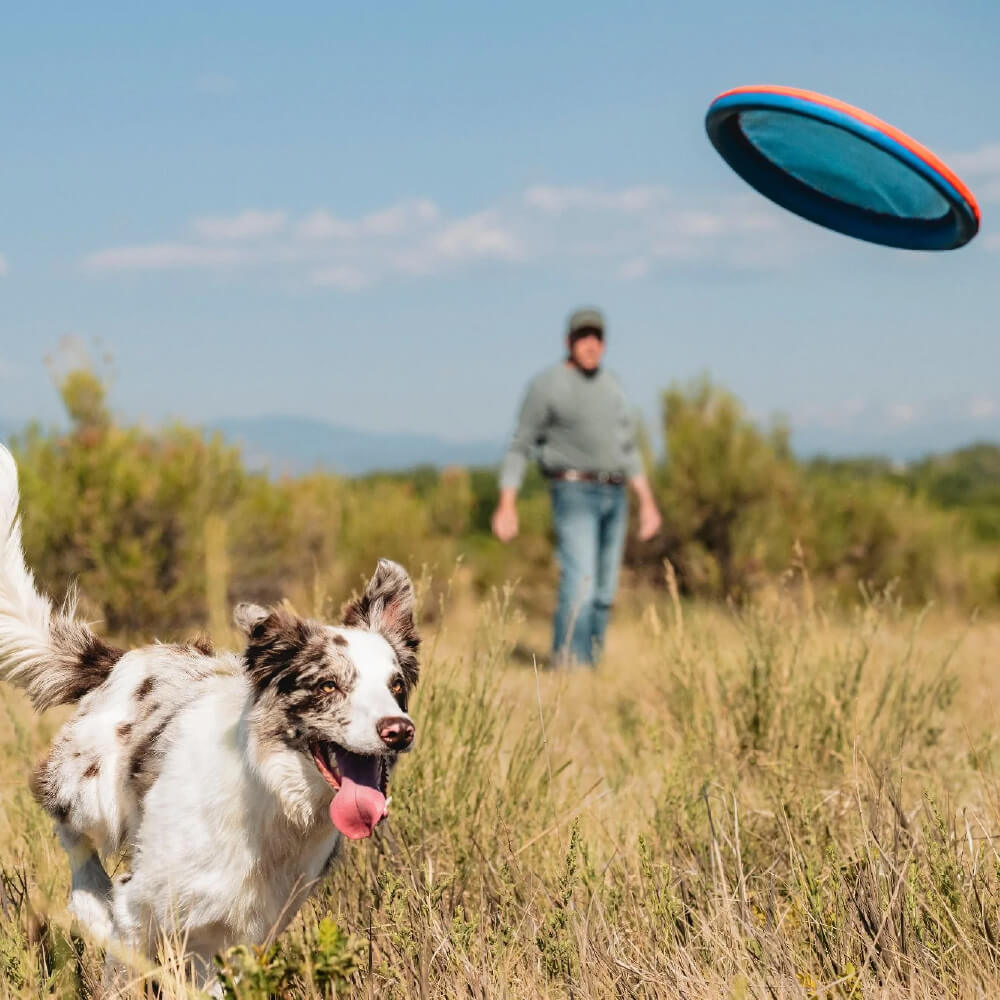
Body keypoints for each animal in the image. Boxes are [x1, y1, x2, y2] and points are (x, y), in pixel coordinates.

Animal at [0, 446, 420, 984]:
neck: (274, 803)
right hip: (90, 792)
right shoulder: (141, 904)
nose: (398, 732)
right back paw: (94, 898)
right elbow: (124, 973)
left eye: (396, 687)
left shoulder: (238, 934)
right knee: (70, 833)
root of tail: (124, 658)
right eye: (327, 685)